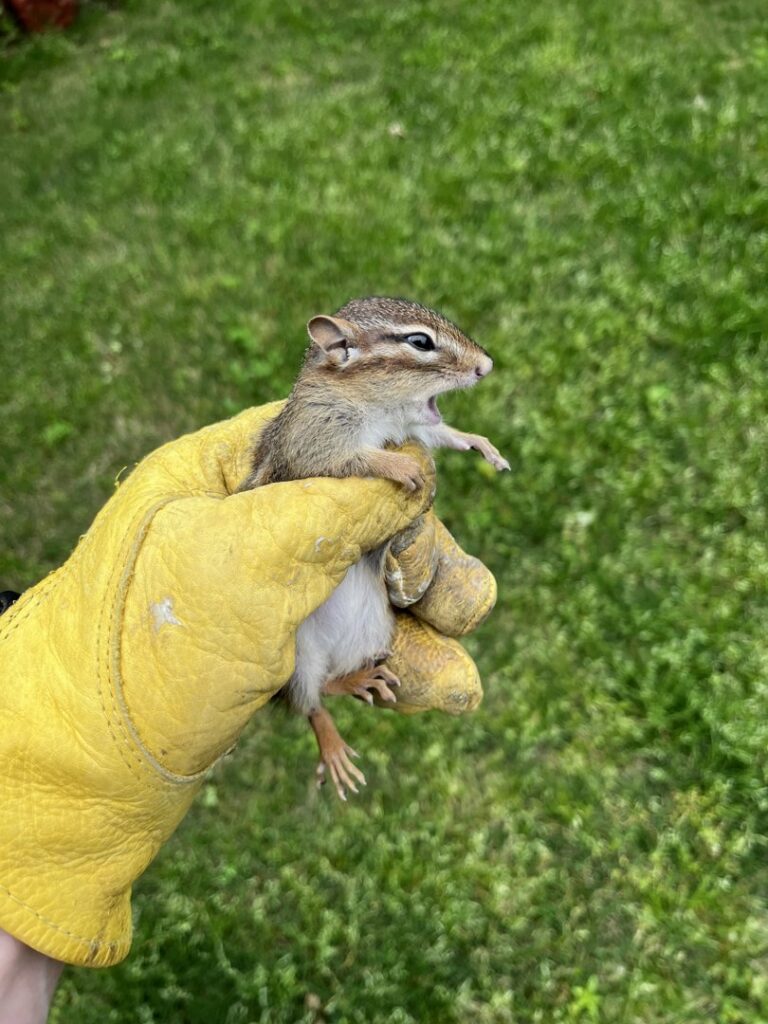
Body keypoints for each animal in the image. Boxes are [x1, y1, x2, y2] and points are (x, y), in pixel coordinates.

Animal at [239, 297, 509, 800]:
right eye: (420, 341)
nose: (487, 366)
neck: (378, 410)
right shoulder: (314, 441)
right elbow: (351, 459)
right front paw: (401, 466)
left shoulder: (415, 425)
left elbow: (442, 435)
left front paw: (479, 444)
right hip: (294, 663)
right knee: (312, 705)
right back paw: (332, 747)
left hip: (373, 631)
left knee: (330, 686)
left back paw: (360, 678)